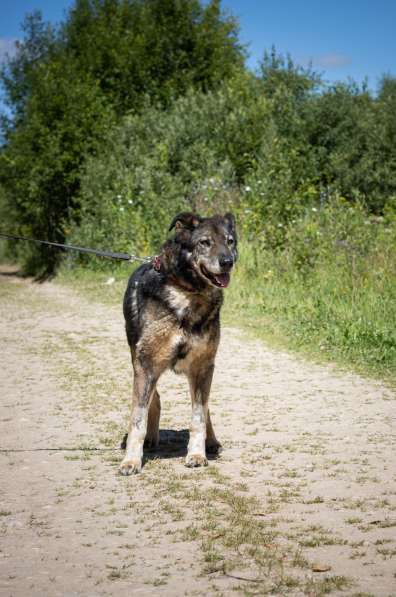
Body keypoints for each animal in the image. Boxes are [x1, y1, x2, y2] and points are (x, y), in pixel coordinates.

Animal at [119, 212, 237, 472]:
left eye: (230, 241)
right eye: (205, 242)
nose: (227, 261)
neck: (188, 292)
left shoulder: (203, 366)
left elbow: (199, 416)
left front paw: (197, 454)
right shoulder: (146, 366)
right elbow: (138, 419)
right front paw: (131, 460)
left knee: (204, 407)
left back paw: (211, 441)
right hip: (138, 361)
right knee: (154, 400)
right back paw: (151, 438)